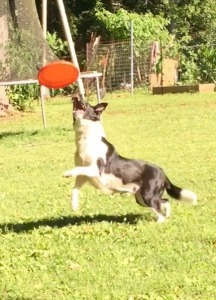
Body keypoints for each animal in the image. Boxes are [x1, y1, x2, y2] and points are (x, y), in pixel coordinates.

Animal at [62, 96, 197, 223]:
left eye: (85, 102)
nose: (75, 97)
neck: (86, 139)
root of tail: (162, 172)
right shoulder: (84, 176)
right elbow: (75, 188)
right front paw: (74, 205)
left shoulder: (96, 169)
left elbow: (76, 169)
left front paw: (67, 173)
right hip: (141, 198)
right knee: (165, 201)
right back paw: (167, 215)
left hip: (148, 195)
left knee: (160, 210)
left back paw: (159, 222)